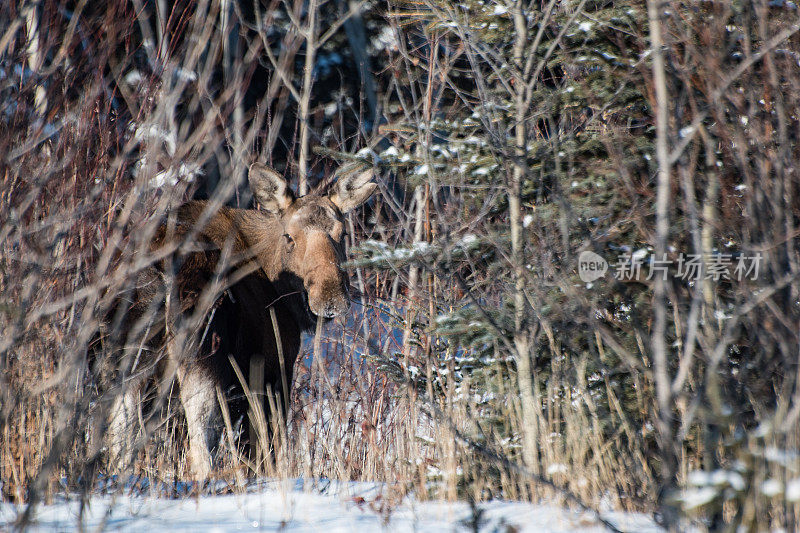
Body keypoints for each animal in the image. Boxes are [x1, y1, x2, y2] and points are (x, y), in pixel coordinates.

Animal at [104, 163, 376, 478]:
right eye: (289, 237)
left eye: (342, 234)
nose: (330, 297)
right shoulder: (272, 372)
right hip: (203, 360)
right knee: (201, 445)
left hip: (127, 363)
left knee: (119, 440)